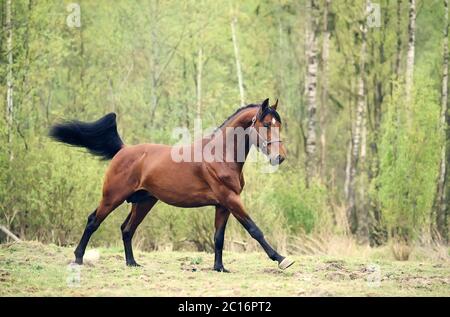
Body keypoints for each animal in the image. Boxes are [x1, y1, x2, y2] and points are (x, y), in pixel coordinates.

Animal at [50, 97, 296, 270]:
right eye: (266, 125)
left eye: (279, 125)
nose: (280, 157)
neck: (220, 155)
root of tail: (123, 150)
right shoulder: (231, 200)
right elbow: (255, 230)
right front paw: (281, 259)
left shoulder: (223, 205)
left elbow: (218, 237)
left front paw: (219, 268)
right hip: (113, 197)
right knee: (93, 221)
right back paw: (78, 258)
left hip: (144, 202)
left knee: (127, 229)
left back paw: (132, 263)